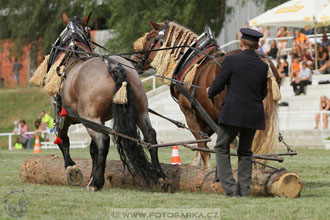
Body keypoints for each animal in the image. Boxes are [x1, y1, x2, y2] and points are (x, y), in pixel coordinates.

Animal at [31, 14, 165, 192]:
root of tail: (113, 66)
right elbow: (92, 149)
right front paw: (90, 175)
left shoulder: (61, 115)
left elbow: (63, 141)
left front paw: (72, 169)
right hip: (141, 110)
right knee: (150, 136)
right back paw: (160, 176)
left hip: (90, 118)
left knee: (103, 140)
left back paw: (97, 183)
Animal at [134, 21, 282, 168]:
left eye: (148, 39)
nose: (134, 60)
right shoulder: (209, 117)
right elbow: (203, 149)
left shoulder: (191, 116)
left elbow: (203, 149)